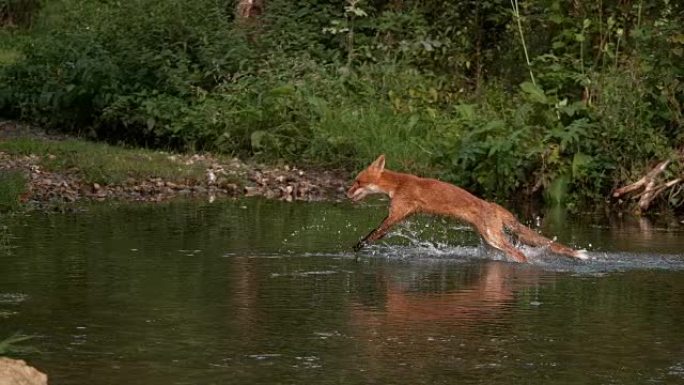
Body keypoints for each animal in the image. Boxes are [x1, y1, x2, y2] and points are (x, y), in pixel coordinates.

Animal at [348, 154, 588, 262]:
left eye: (358, 182)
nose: (346, 193)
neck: (398, 185)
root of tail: (494, 206)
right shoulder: (399, 216)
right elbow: (377, 233)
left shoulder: (396, 213)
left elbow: (374, 233)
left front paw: (358, 247)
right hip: (490, 243)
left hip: (494, 238)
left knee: (520, 254)